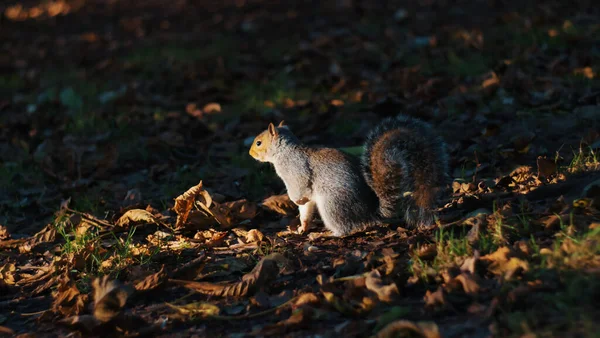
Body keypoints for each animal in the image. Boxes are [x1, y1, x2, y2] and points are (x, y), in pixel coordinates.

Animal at [248, 115, 450, 236]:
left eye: (259, 142)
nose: (250, 153)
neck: (284, 152)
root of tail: (370, 214)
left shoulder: (296, 172)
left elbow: (300, 189)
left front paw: (296, 201)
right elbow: (305, 211)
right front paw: (301, 228)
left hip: (332, 204)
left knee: (345, 228)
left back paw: (328, 234)